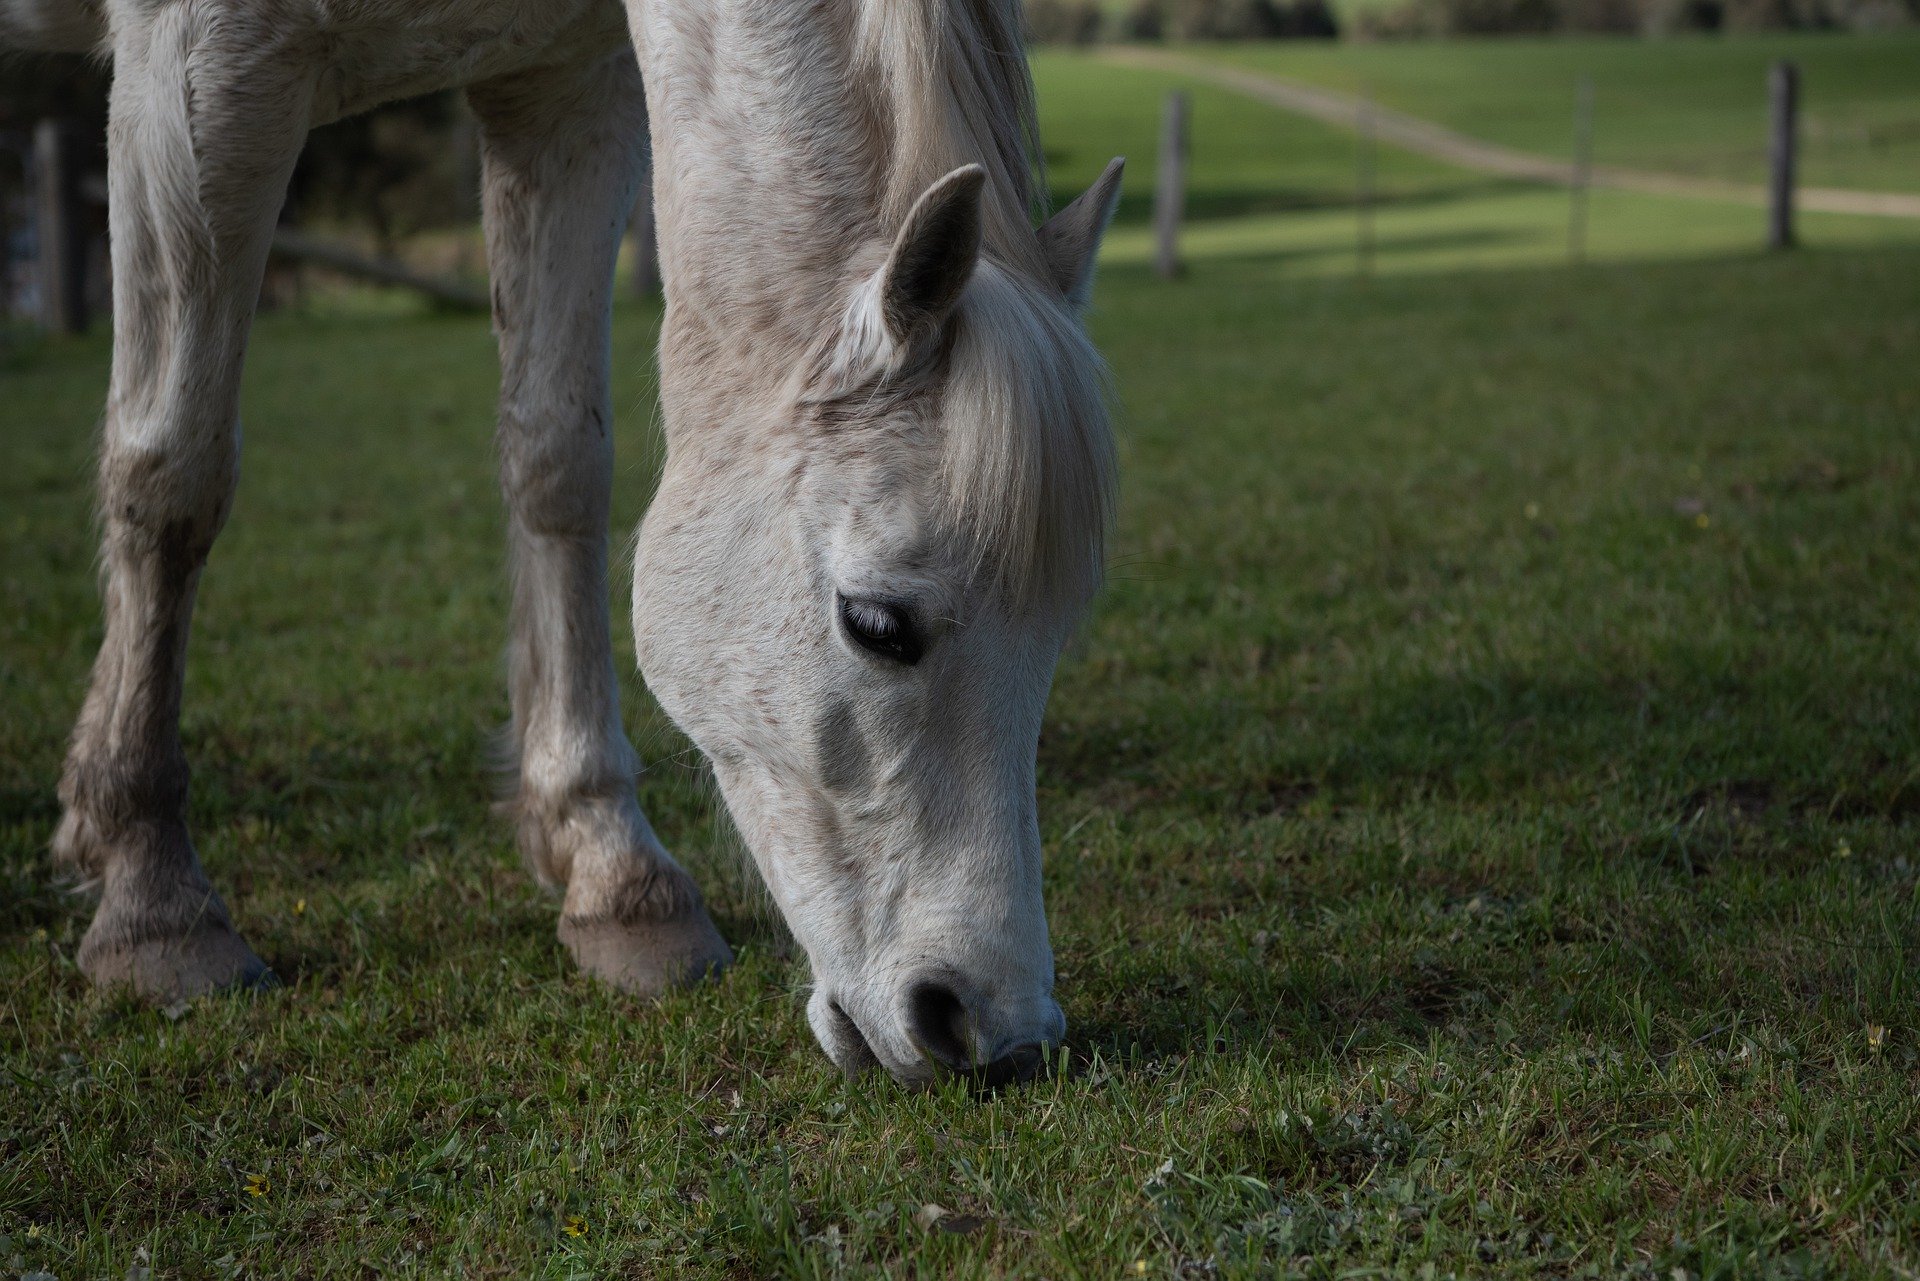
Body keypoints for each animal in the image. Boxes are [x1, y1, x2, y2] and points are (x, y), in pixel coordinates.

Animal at [11, 0, 1121, 1090]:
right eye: (879, 624)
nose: (997, 1032)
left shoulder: (563, 90)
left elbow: (557, 461)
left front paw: (610, 867)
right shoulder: (196, 74)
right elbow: (173, 477)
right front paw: (154, 901)